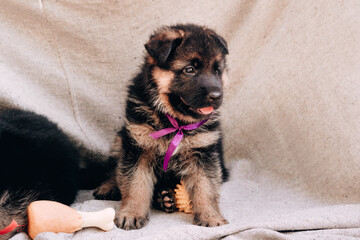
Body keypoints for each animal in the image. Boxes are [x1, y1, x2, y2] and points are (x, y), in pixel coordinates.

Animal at [94, 23, 229, 230]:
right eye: (189, 69)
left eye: (217, 70)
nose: (216, 96)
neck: (173, 121)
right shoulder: (138, 147)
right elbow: (135, 183)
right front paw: (131, 213)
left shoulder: (203, 153)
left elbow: (205, 186)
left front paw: (210, 216)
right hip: (121, 138)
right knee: (115, 168)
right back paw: (109, 186)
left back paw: (164, 198)